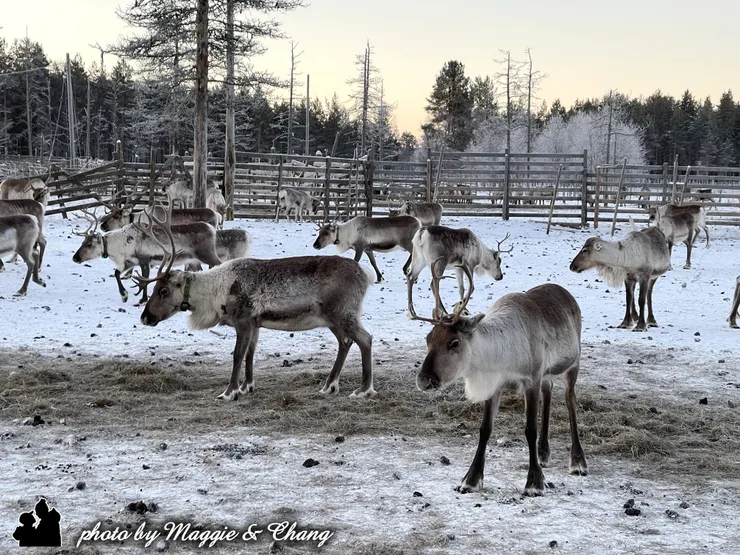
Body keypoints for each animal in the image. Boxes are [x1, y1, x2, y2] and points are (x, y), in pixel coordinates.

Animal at [72, 207, 222, 304]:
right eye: (83, 242)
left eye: (89, 244)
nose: (75, 258)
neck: (121, 245)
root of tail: (212, 229)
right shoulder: (130, 262)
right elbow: (116, 273)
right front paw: (124, 295)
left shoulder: (145, 260)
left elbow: (144, 280)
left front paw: (142, 300)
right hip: (194, 261)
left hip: (207, 254)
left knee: (219, 264)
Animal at [133, 212, 375, 400]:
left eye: (163, 291)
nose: (145, 317)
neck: (212, 294)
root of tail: (366, 274)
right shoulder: (255, 324)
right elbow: (250, 354)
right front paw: (246, 386)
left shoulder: (243, 320)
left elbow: (237, 355)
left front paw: (229, 392)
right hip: (332, 319)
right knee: (345, 342)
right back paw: (329, 385)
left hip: (343, 313)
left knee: (365, 339)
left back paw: (363, 389)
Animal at [410, 283, 587, 495]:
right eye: (428, 339)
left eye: (454, 342)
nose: (423, 380)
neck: (501, 356)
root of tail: (565, 293)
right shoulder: (494, 384)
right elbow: (485, 429)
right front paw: (471, 480)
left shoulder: (532, 379)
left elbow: (530, 430)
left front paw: (534, 482)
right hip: (547, 374)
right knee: (548, 391)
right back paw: (543, 454)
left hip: (573, 363)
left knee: (570, 400)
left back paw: (578, 461)